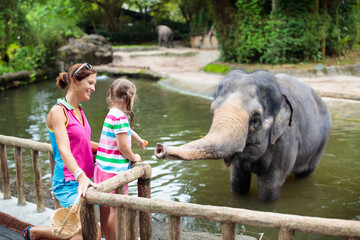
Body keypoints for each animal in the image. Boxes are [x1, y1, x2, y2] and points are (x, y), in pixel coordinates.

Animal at [155, 70, 332, 201]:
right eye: (212, 112)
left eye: (255, 120)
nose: (159, 148)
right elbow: (237, 182)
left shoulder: (286, 139)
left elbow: (268, 187)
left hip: (321, 142)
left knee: (306, 173)